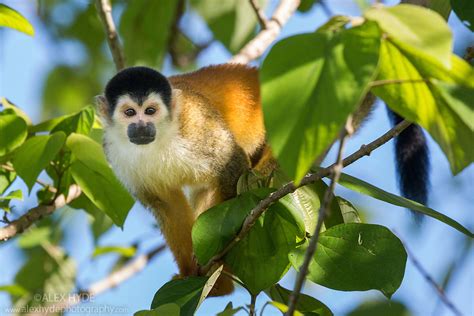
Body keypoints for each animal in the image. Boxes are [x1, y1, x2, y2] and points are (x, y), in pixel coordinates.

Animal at [95, 63, 430, 296]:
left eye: (150, 111)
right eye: (130, 113)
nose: (141, 127)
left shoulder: (196, 126)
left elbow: (231, 167)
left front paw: (217, 265)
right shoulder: (116, 155)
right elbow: (166, 207)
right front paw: (192, 273)